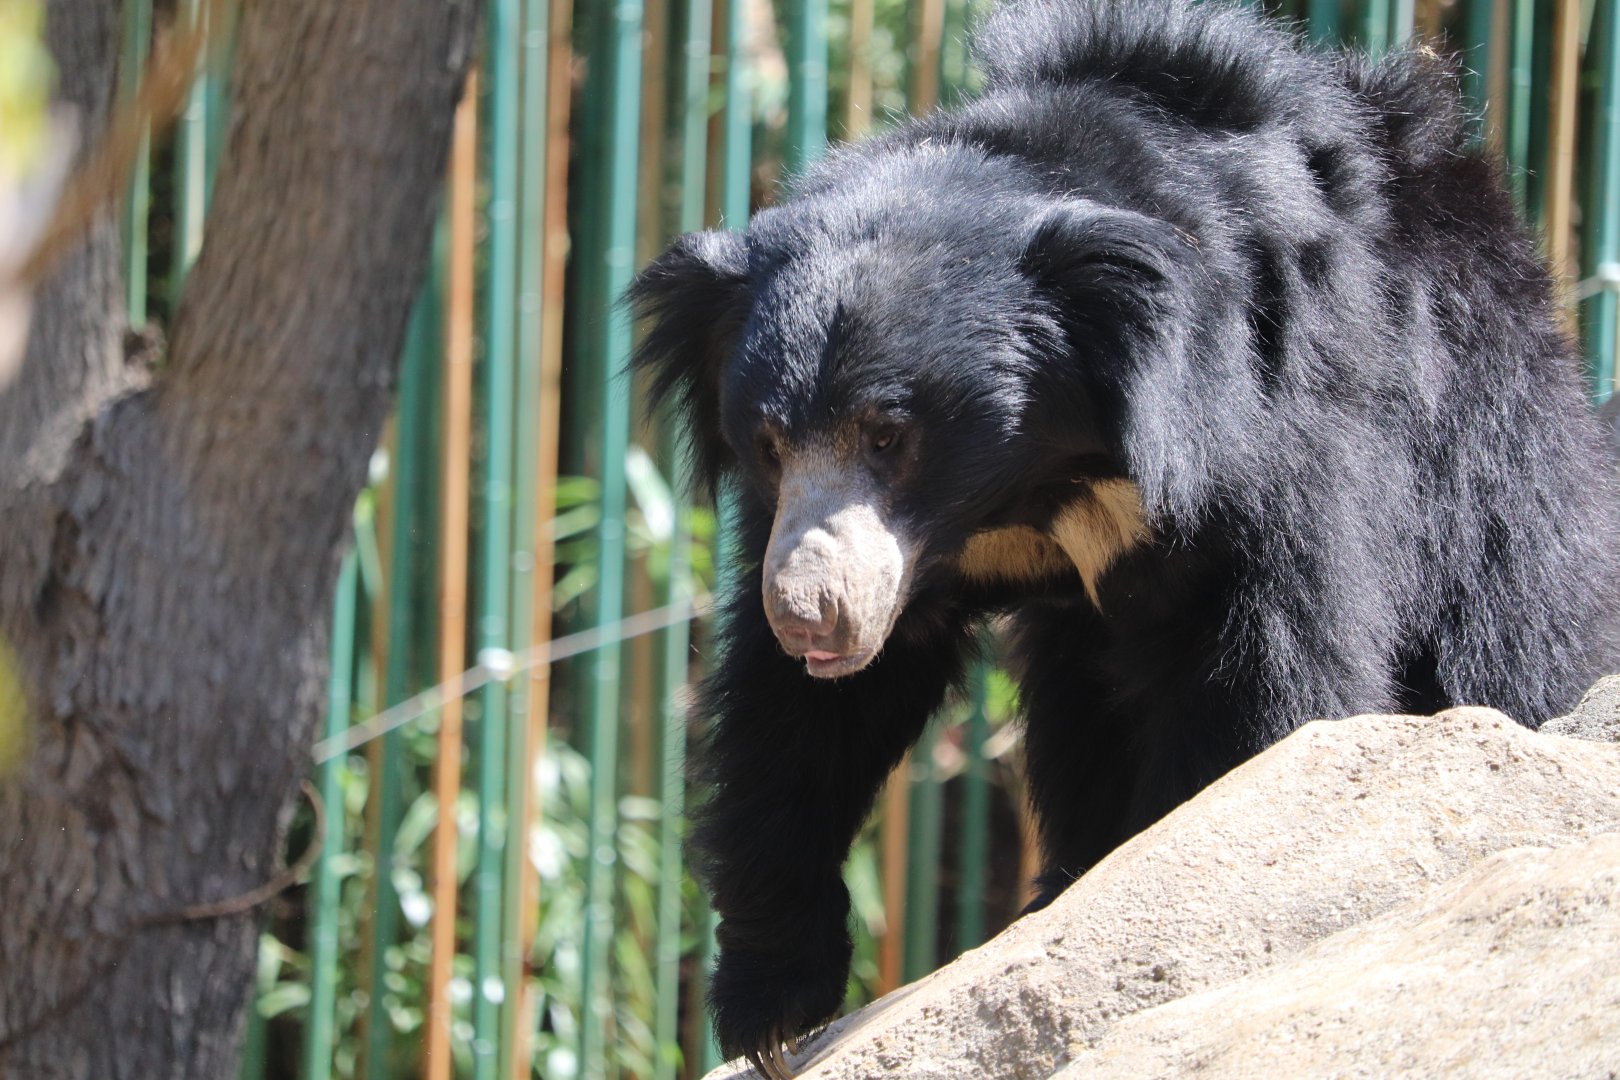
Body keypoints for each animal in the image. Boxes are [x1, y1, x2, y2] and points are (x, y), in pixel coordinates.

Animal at [630, 0, 1620, 1073]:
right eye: (770, 442)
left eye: (891, 435)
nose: (811, 614)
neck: (1030, 480)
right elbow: (802, 724)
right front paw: (773, 1006)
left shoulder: (1267, 424)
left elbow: (1268, 664)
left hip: (1483, 449)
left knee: (1515, 625)